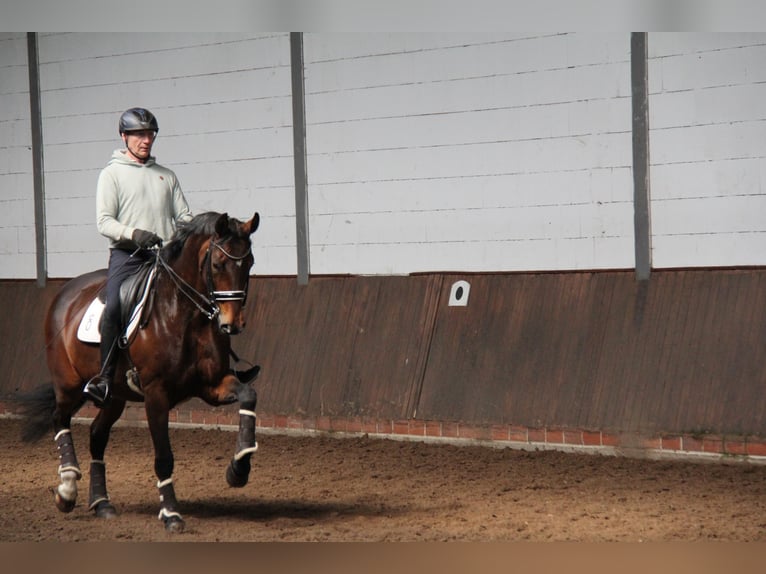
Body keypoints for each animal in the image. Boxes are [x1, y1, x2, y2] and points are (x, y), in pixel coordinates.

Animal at [18, 213, 262, 536]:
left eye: (250, 263)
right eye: (218, 264)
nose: (231, 324)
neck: (184, 315)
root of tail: (65, 293)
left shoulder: (213, 385)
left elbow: (249, 395)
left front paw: (238, 469)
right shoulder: (156, 393)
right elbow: (164, 457)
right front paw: (171, 513)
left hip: (114, 397)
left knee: (97, 435)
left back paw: (102, 503)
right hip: (68, 385)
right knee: (60, 419)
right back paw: (67, 490)